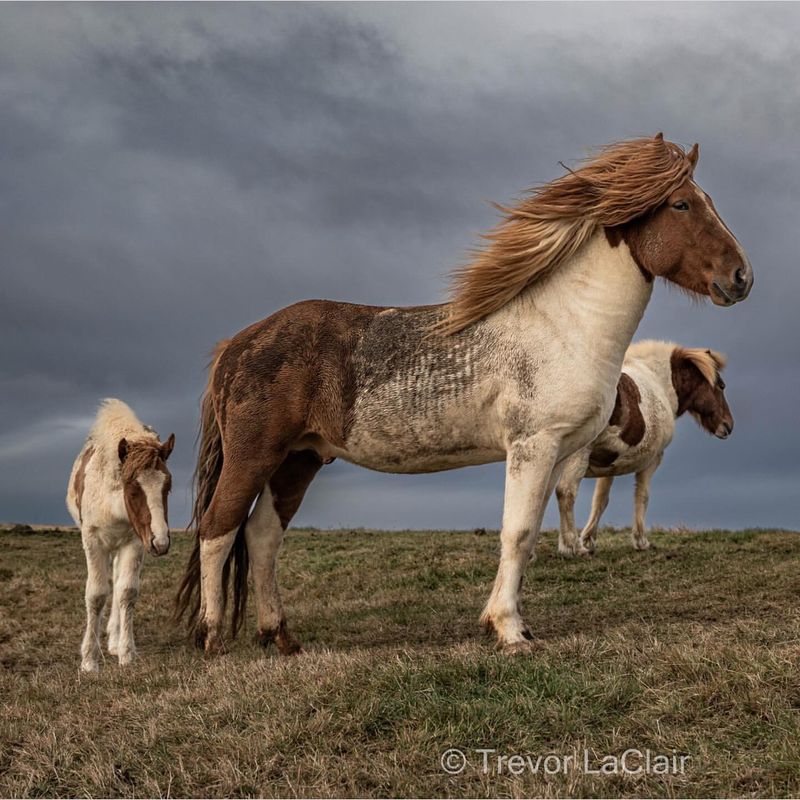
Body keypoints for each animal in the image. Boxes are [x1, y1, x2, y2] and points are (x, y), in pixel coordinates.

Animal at [68, 398, 176, 668]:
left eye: (167, 486)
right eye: (133, 488)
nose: (161, 542)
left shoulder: (135, 542)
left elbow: (126, 592)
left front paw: (126, 653)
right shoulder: (93, 541)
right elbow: (96, 595)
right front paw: (89, 660)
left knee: (117, 585)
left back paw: (115, 641)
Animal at [556, 342, 732, 556]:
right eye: (721, 385)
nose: (728, 425)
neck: (657, 381)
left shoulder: (609, 465)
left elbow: (600, 500)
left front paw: (589, 539)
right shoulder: (652, 460)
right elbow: (642, 496)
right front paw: (641, 541)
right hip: (576, 457)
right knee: (566, 492)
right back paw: (572, 546)